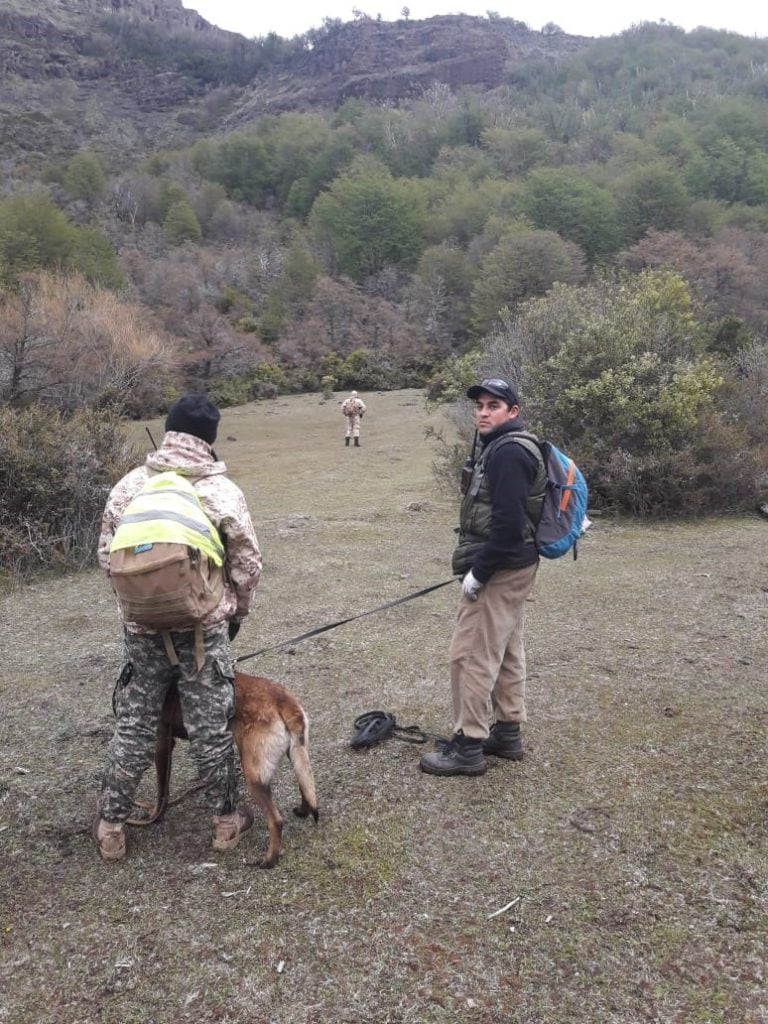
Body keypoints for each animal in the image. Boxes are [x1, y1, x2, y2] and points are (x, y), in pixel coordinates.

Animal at [137, 671, 319, 864]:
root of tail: (283, 699)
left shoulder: (162, 743)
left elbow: (162, 791)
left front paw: (155, 816)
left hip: (253, 776)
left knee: (276, 820)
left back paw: (269, 860)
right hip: (296, 753)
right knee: (304, 785)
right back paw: (303, 811)